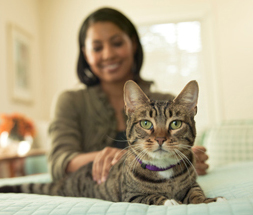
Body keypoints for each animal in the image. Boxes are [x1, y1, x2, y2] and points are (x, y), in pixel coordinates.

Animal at [0, 80, 222, 205]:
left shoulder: (192, 184)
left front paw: (207, 200)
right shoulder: (131, 196)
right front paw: (170, 202)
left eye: (175, 123)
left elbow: (195, 192)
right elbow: (152, 197)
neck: (163, 171)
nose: (160, 139)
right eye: (146, 123)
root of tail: (67, 180)